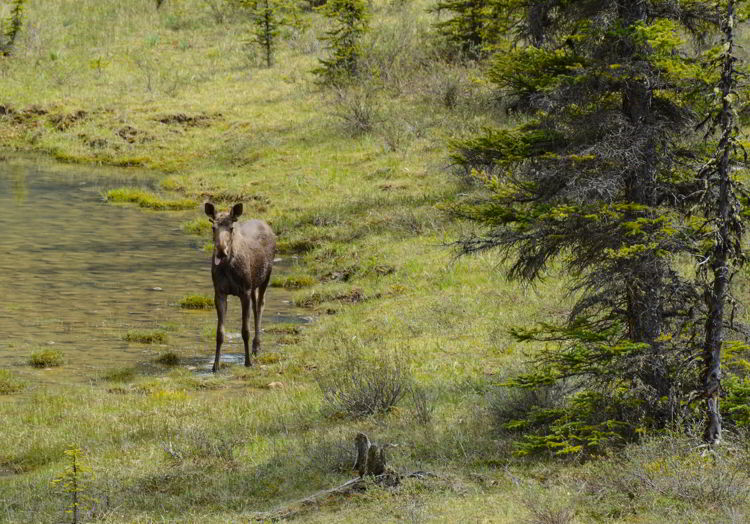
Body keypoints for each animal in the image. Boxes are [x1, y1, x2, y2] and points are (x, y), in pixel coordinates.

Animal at [204, 202, 278, 372]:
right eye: (213, 227)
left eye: (231, 227)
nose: (221, 251)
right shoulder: (219, 292)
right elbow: (220, 333)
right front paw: (215, 366)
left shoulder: (244, 291)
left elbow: (245, 330)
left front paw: (248, 362)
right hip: (253, 284)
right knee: (256, 305)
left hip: (266, 277)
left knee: (260, 305)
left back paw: (257, 347)